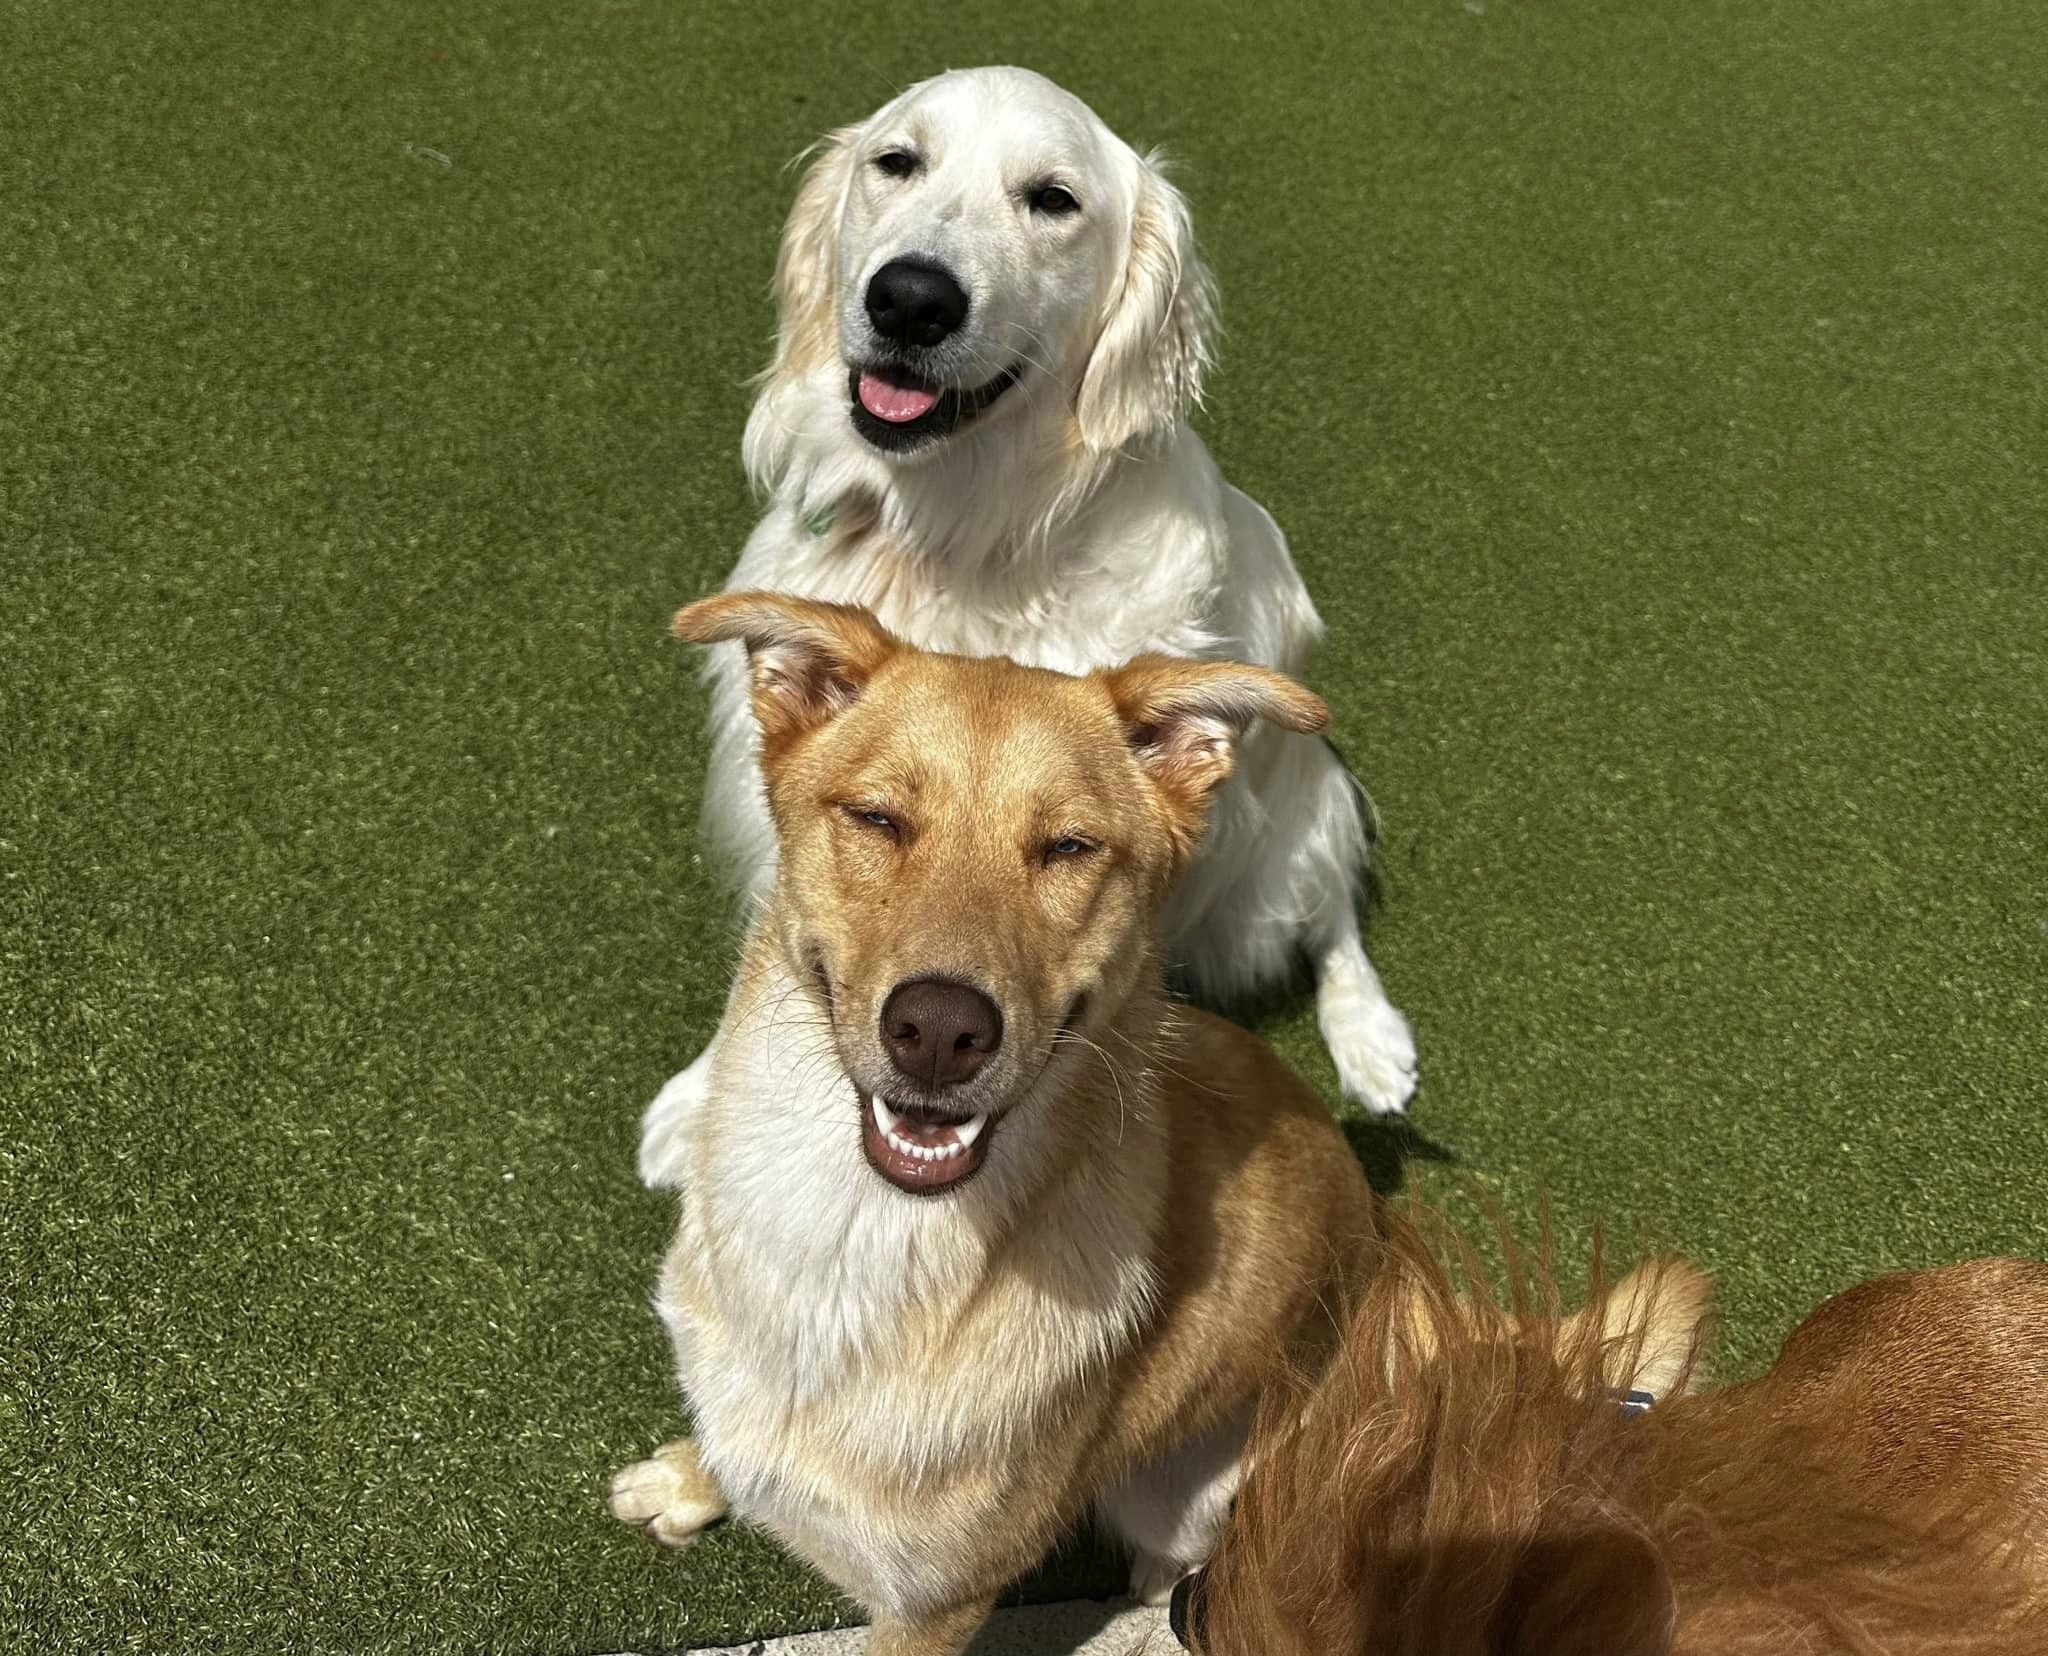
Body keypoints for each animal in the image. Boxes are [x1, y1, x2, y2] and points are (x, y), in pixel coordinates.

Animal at [606, 593, 1376, 1653]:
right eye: (876, 818)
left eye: (1069, 848)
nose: (939, 1030)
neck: (846, 1243)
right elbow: (729, 1436)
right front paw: (689, 1478)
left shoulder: (936, 1604)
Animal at [638, 61, 1409, 1179]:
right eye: (896, 161)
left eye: (1053, 199)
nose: (910, 298)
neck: (955, 534)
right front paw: (708, 1097)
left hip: (1280, 845)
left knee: (1333, 913)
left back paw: (1372, 1040)